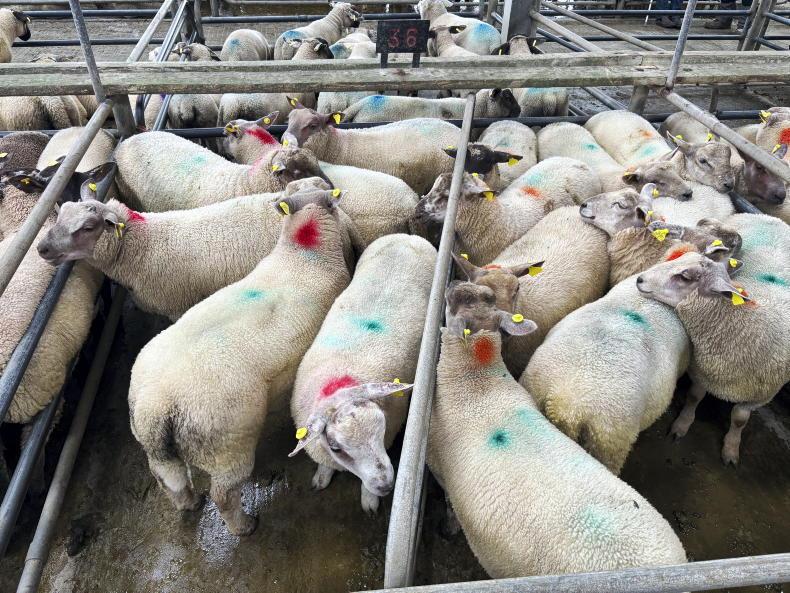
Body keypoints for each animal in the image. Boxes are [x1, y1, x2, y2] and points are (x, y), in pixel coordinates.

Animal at [129, 192, 351, 535]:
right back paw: (244, 525)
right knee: (223, 493)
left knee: (166, 476)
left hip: (153, 438)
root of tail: (156, 405)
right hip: (225, 444)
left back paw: (189, 503)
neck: (304, 253)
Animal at [289, 234, 436, 513]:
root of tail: (406, 236)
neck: (340, 386)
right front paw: (322, 475)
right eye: (336, 448)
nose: (386, 486)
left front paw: (369, 499)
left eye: (382, 428)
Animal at [428, 281, 687, 579]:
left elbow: (449, 507)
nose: (453, 282)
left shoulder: (440, 470)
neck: (477, 383)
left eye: (451, 302)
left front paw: (448, 529)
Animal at [636, 218, 790, 466]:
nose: (640, 279)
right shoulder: (702, 373)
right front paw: (681, 426)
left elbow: (739, 419)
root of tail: (772, 218)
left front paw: (731, 450)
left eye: (686, 276)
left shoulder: (759, 397)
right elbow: (694, 397)